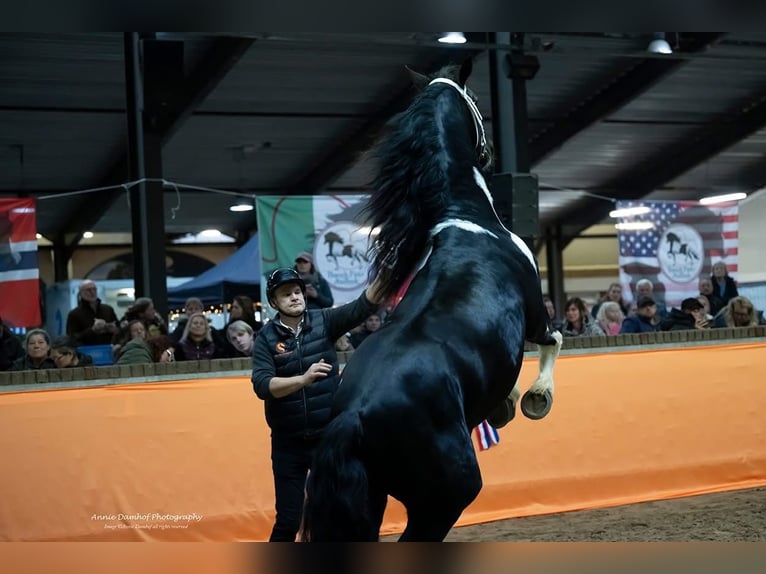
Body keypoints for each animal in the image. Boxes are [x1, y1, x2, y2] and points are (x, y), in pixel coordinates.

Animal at [302, 60, 564, 544]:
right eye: (476, 99)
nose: (489, 152)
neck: (467, 218)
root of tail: (353, 417)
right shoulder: (536, 312)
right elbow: (552, 340)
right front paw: (534, 397)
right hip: (445, 497)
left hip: (368, 499)